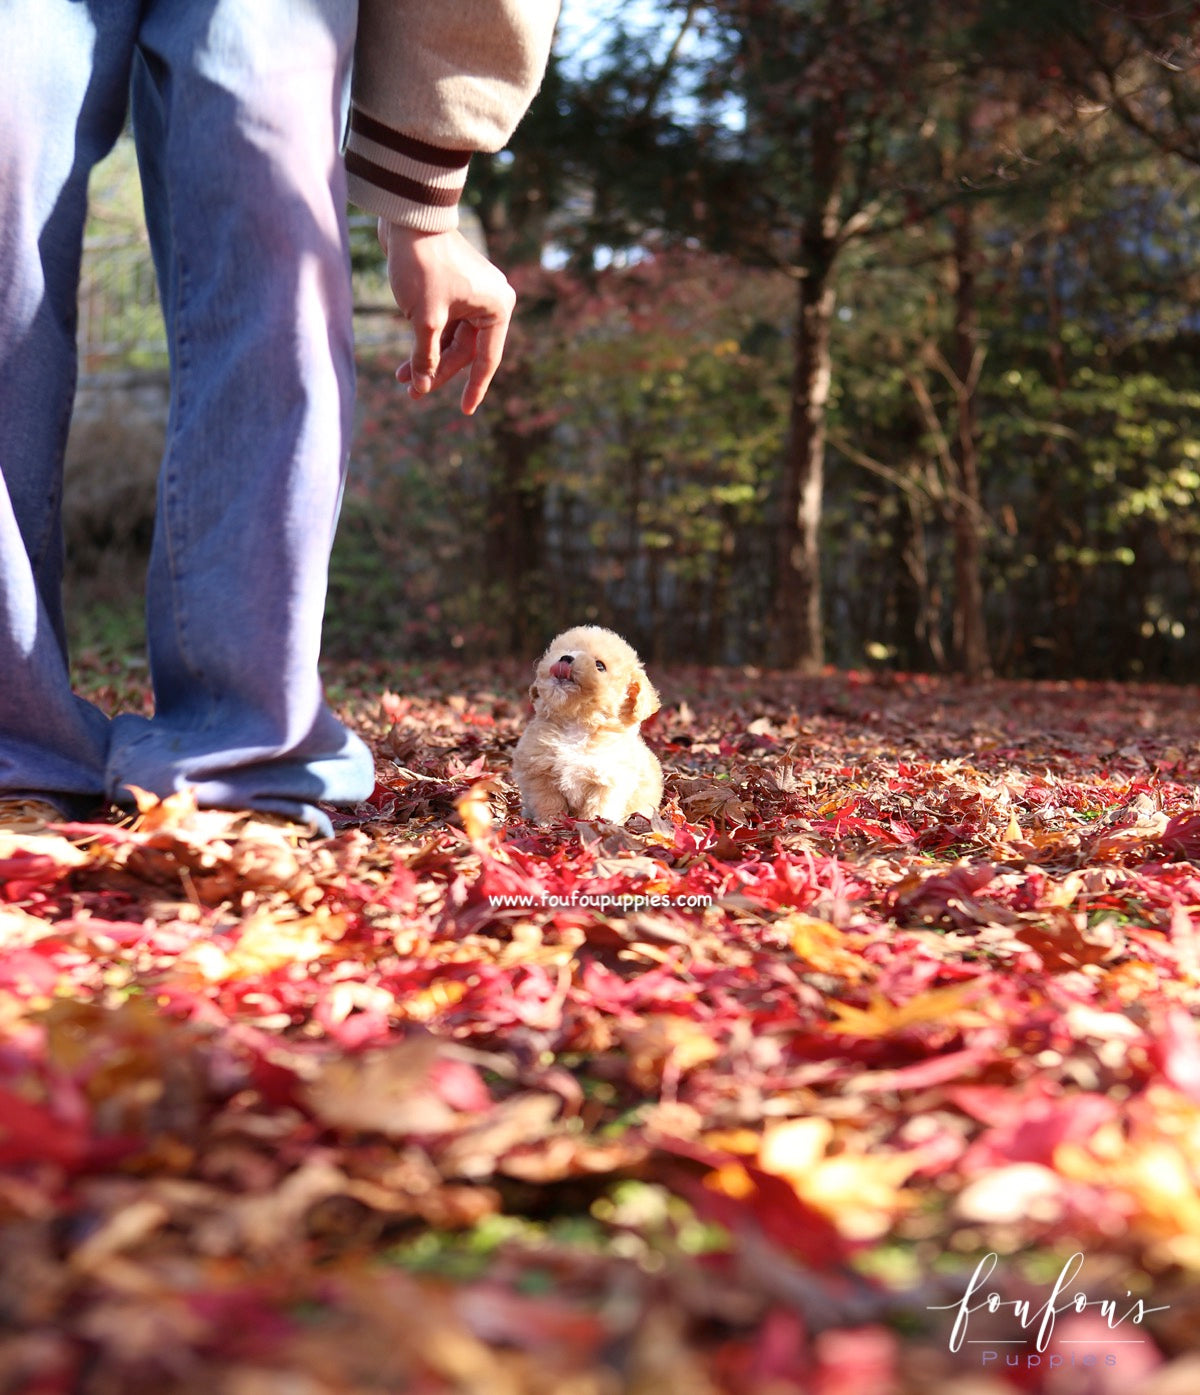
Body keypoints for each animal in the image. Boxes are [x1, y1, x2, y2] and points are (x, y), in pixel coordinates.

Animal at [516, 624, 666, 820]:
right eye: (566, 650)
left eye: (599, 666)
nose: (566, 658)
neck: (576, 724)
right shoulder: (539, 772)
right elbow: (548, 800)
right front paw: (550, 821)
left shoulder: (608, 782)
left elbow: (598, 807)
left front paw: (594, 823)